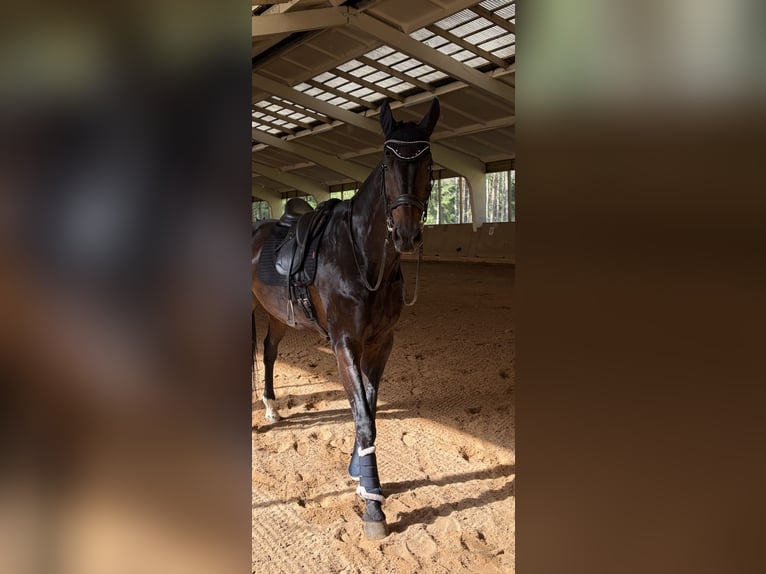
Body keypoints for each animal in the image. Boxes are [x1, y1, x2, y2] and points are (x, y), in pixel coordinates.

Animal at [251, 98, 439, 539]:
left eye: (428, 163)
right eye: (387, 162)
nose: (406, 235)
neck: (362, 258)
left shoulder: (381, 341)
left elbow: (367, 408)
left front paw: (360, 474)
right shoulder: (343, 344)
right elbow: (363, 417)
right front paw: (373, 507)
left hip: (278, 315)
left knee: (268, 352)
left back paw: (271, 407)